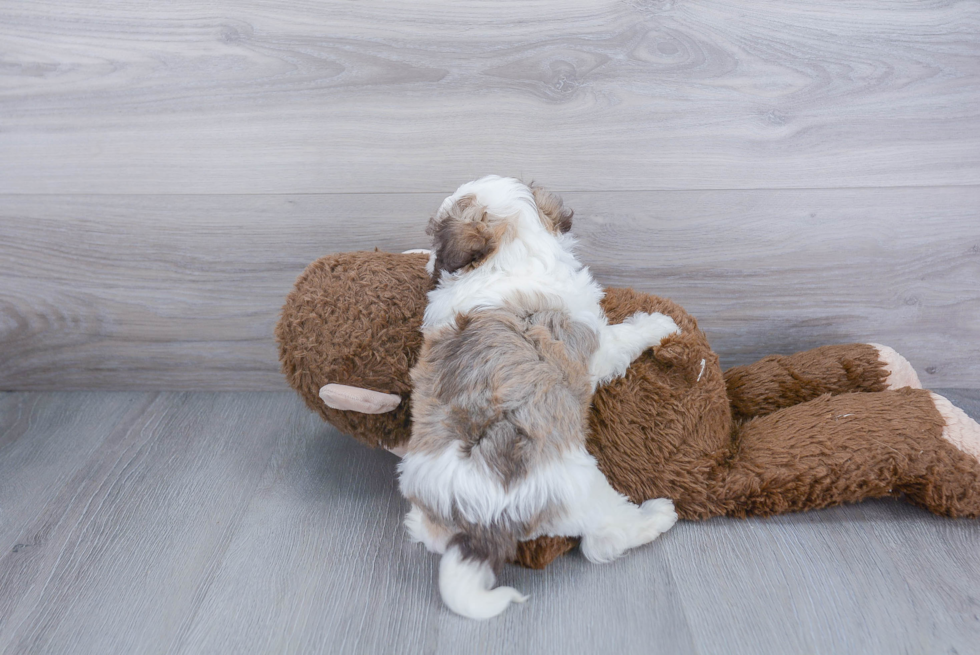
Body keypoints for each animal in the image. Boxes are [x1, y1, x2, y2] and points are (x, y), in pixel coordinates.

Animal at [398, 177, 680, 624]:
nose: (428, 265)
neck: (509, 254)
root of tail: (481, 517)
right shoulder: (592, 344)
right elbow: (622, 338)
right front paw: (657, 324)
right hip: (581, 486)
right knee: (604, 540)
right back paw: (656, 516)